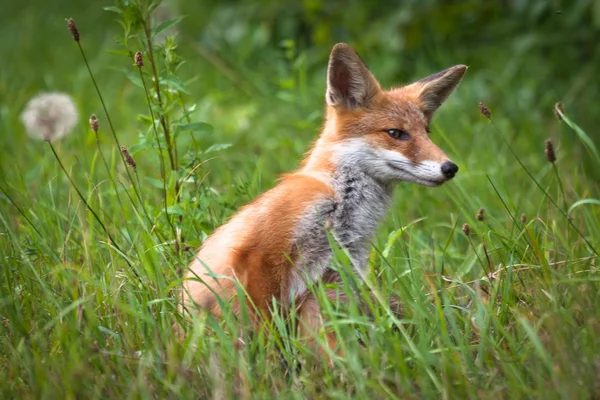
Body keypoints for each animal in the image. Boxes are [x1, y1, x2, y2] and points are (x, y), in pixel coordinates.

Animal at [180, 43, 466, 350]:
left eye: (427, 132)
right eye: (395, 133)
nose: (450, 168)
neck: (341, 203)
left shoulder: (334, 276)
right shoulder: (260, 252)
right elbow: (267, 329)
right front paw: (271, 360)